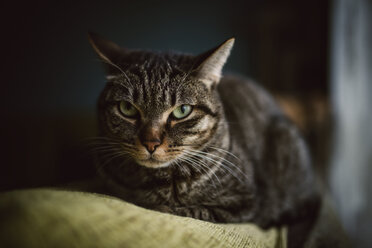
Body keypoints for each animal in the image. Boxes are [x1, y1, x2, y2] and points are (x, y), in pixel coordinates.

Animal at [87, 32, 320, 247]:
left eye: (182, 111)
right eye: (127, 109)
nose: (150, 143)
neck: (163, 181)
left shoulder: (245, 204)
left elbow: (191, 211)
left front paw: (163, 206)